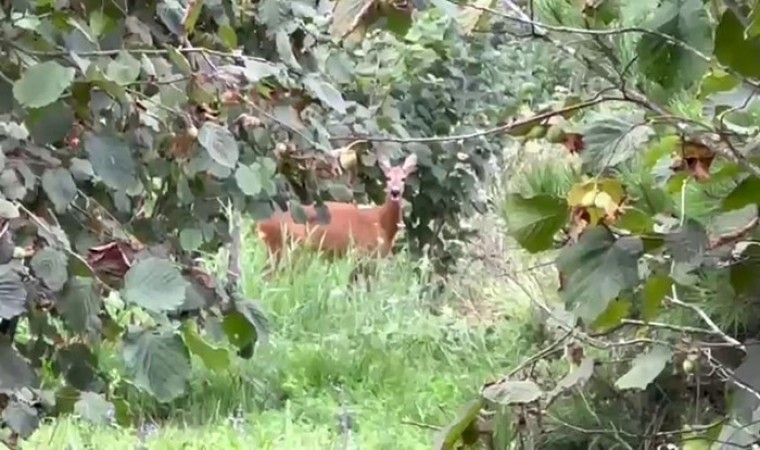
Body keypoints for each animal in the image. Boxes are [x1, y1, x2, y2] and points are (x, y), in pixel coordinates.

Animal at [258, 153, 418, 276]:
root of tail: (261, 224)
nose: (395, 191)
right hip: (288, 247)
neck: (381, 222)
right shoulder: (362, 253)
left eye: (403, 178)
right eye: (388, 178)